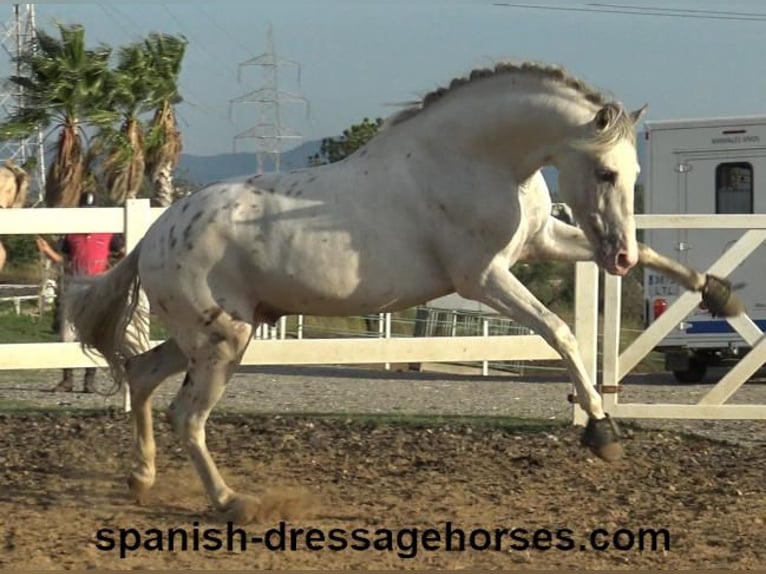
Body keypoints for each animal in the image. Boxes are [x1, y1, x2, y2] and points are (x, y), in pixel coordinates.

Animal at [67, 60, 744, 524]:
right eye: (604, 171)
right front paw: (602, 433)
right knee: (187, 416)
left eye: (633, 174)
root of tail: (156, 233)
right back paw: (234, 502)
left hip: (202, 337)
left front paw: (720, 296)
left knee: (141, 375)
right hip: (222, 342)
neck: (475, 158)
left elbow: (654, 264)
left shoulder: (541, 241)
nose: (618, 256)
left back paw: (141, 479)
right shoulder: (484, 277)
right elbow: (558, 332)